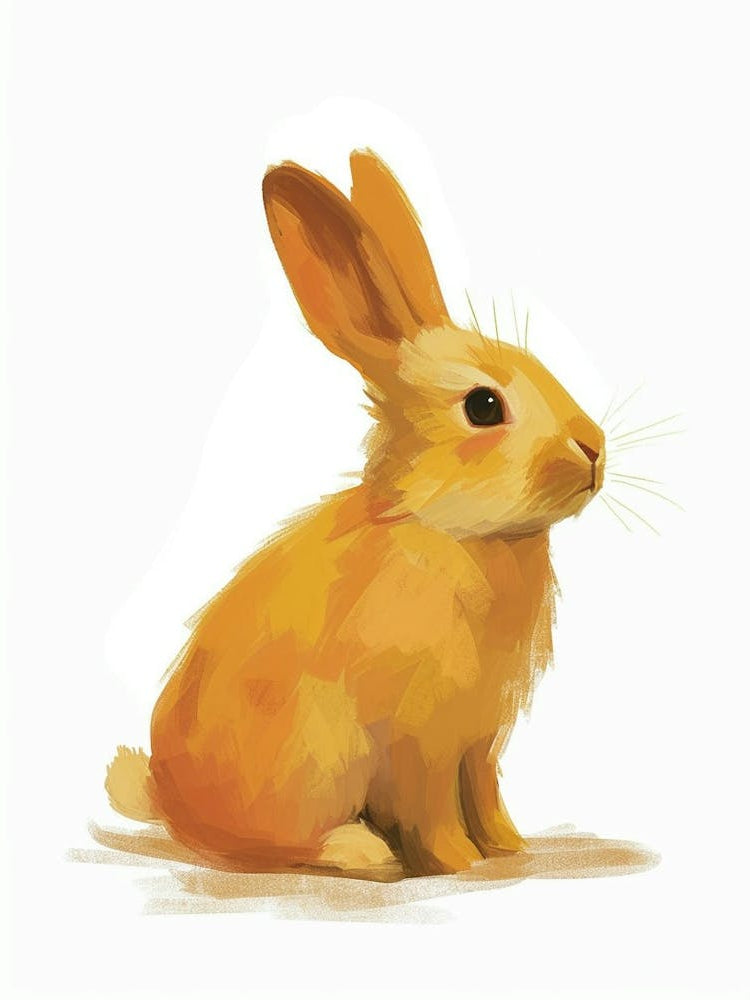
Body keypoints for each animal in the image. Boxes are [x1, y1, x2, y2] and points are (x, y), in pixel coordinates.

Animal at [106, 149, 605, 880]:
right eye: (484, 406)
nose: (595, 450)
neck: (447, 529)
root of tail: (172, 806)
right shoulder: (423, 742)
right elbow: (437, 807)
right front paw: (460, 863)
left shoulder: (480, 741)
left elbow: (486, 794)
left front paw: (509, 848)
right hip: (313, 764)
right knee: (276, 846)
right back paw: (365, 851)